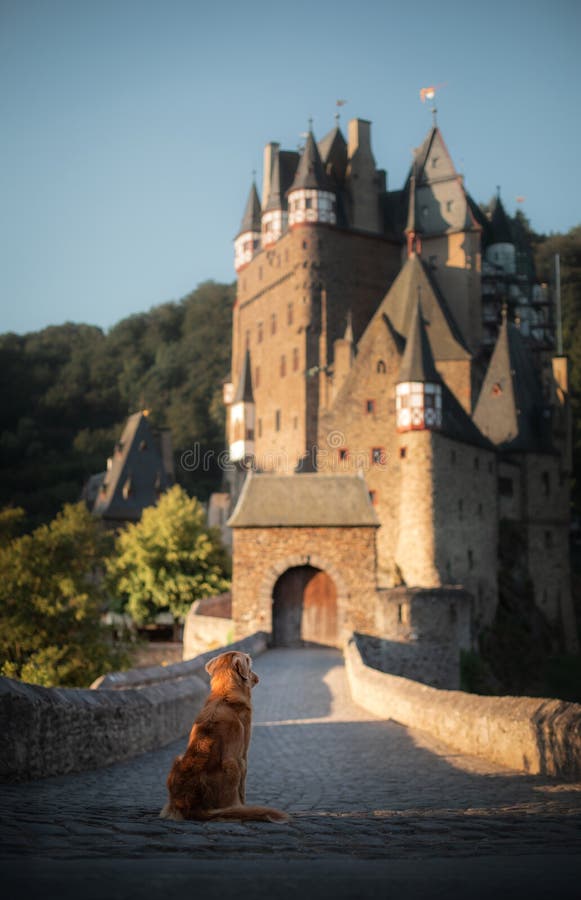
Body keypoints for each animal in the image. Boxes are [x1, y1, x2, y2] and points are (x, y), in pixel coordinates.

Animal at [159, 652, 288, 824]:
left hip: (178, 758)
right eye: (250, 667)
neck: (224, 693)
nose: (257, 678)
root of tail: (188, 804)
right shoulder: (243, 756)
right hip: (232, 764)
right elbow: (242, 790)